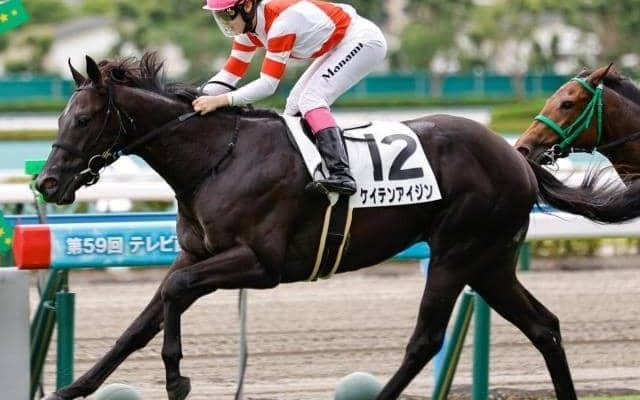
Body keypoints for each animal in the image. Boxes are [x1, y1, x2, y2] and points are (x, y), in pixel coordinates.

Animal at [36, 52, 640, 400]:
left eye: (83, 119)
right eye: (60, 118)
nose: (46, 183)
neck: (218, 156)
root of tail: (515, 156)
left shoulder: (261, 264)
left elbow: (175, 292)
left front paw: (176, 377)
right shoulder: (196, 253)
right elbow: (145, 318)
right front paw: (73, 388)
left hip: (456, 253)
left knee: (424, 340)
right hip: (491, 262)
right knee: (544, 327)